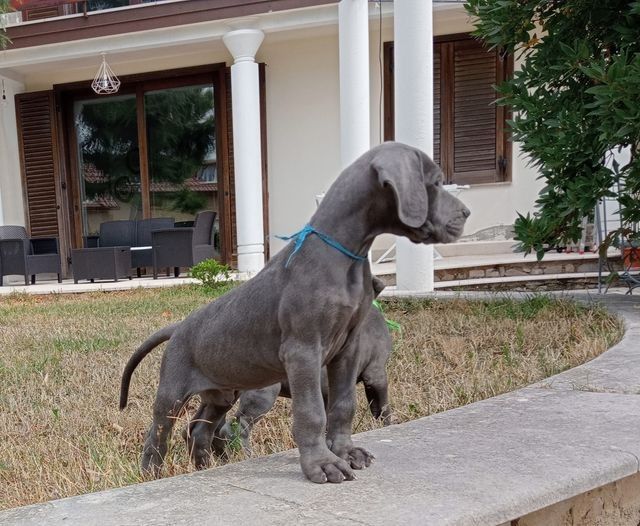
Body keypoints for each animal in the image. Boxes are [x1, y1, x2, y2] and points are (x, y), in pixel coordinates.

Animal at [120, 142, 470, 484]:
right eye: (435, 181)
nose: (466, 213)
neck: (345, 254)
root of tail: (178, 327)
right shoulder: (305, 350)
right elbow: (313, 412)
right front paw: (322, 465)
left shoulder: (348, 350)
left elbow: (343, 404)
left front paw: (346, 452)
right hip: (174, 390)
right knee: (159, 433)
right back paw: (151, 474)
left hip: (221, 392)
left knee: (200, 429)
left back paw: (205, 467)